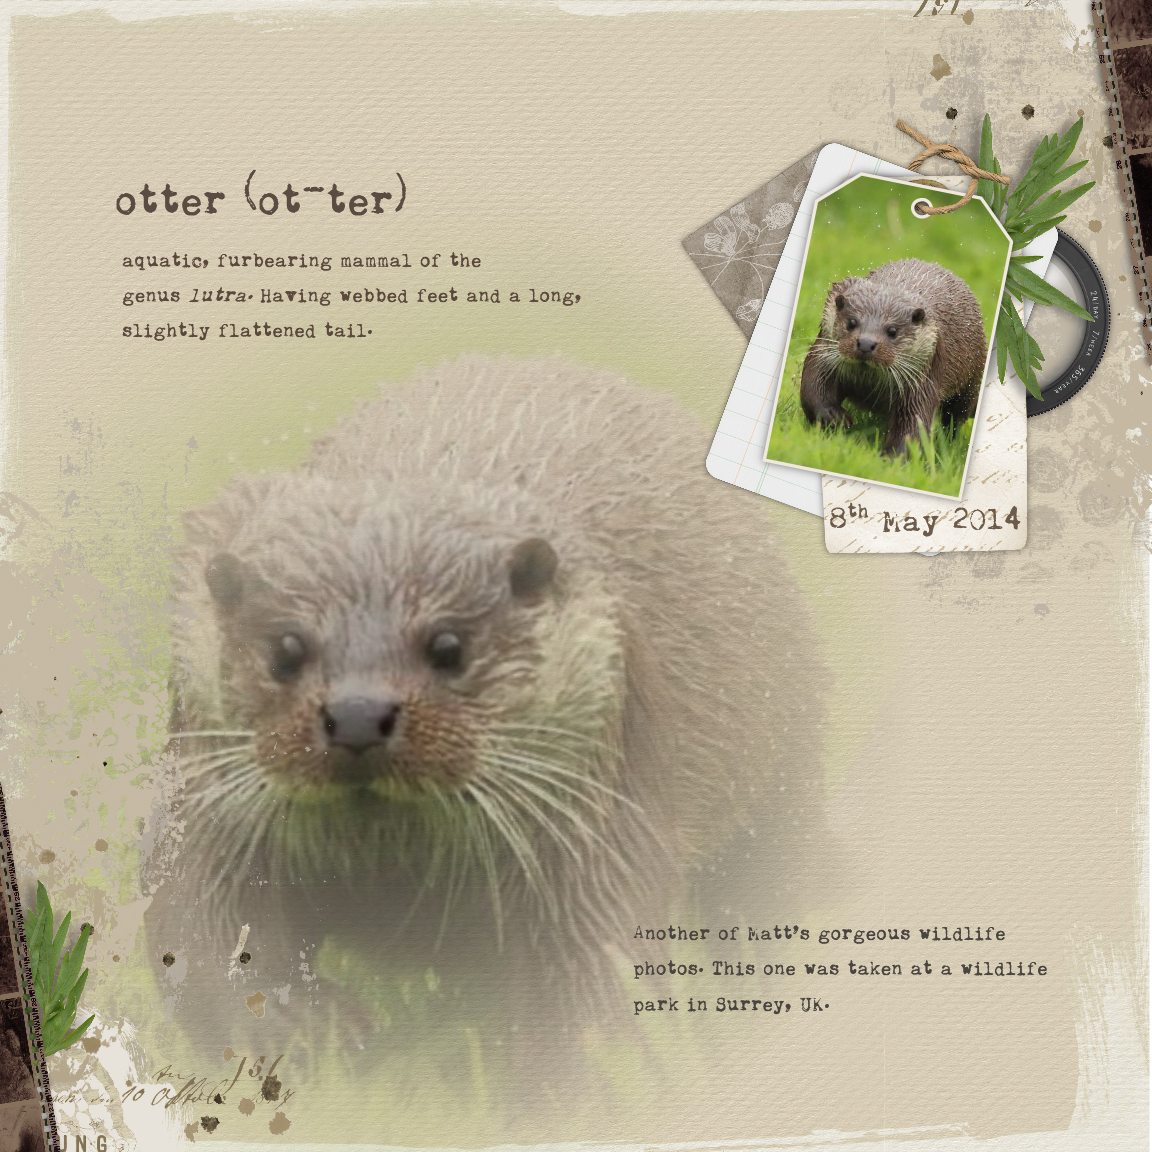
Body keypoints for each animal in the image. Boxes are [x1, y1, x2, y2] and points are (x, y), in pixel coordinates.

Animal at [143, 356, 821, 1083]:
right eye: (287, 648)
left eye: (448, 646)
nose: (357, 715)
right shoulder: (201, 795)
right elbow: (195, 923)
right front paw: (303, 1028)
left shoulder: (601, 815)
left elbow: (593, 975)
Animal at [799, 258, 988, 456]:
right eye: (851, 322)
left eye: (892, 331)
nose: (866, 343)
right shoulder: (824, 355)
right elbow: (813, 387)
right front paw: (834, 417)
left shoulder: (922, 383)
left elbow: (913, 427)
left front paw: (891, 458)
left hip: (970, 382)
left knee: (956, 417)